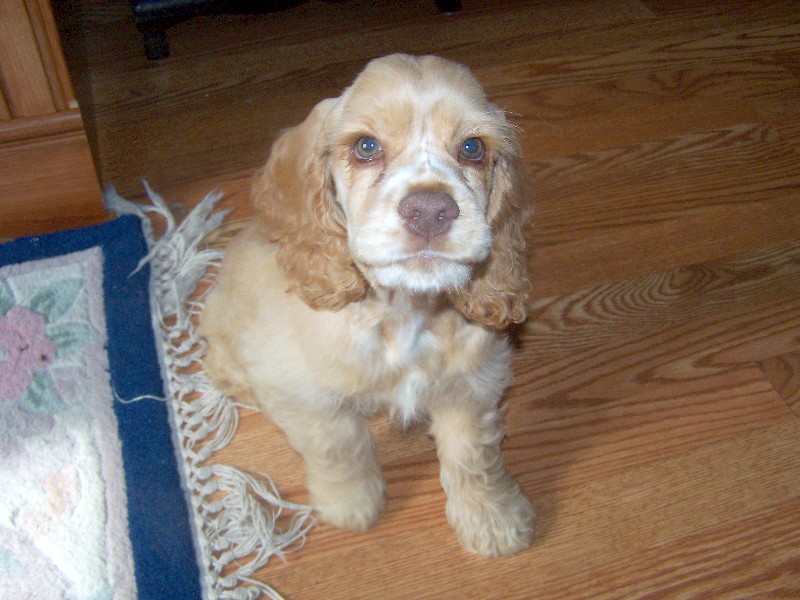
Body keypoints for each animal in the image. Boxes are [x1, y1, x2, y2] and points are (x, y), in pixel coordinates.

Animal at [200, 54, 534, 557]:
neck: (404, 311)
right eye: (366, 146)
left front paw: (492, 518)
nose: (430, 211)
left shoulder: (473, 383)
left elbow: (474, 454)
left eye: (473, 147)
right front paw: (352, 505)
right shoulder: (308, 396)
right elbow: (339, 447)